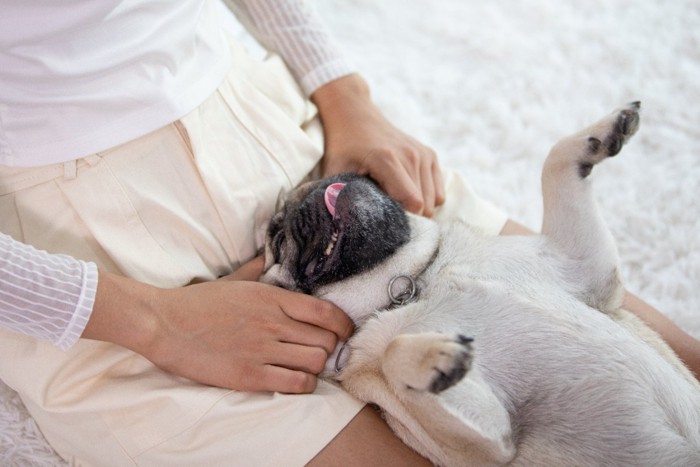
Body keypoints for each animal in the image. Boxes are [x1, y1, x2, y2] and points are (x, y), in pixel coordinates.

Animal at [262, 103, 700, 467]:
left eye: (367, 174)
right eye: (277, 236)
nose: (316, 187)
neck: (411, 285)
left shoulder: (584, 265)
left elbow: (554, 162)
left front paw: (602, 132)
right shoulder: (489, 447)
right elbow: (391, 351)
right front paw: (433, 358)